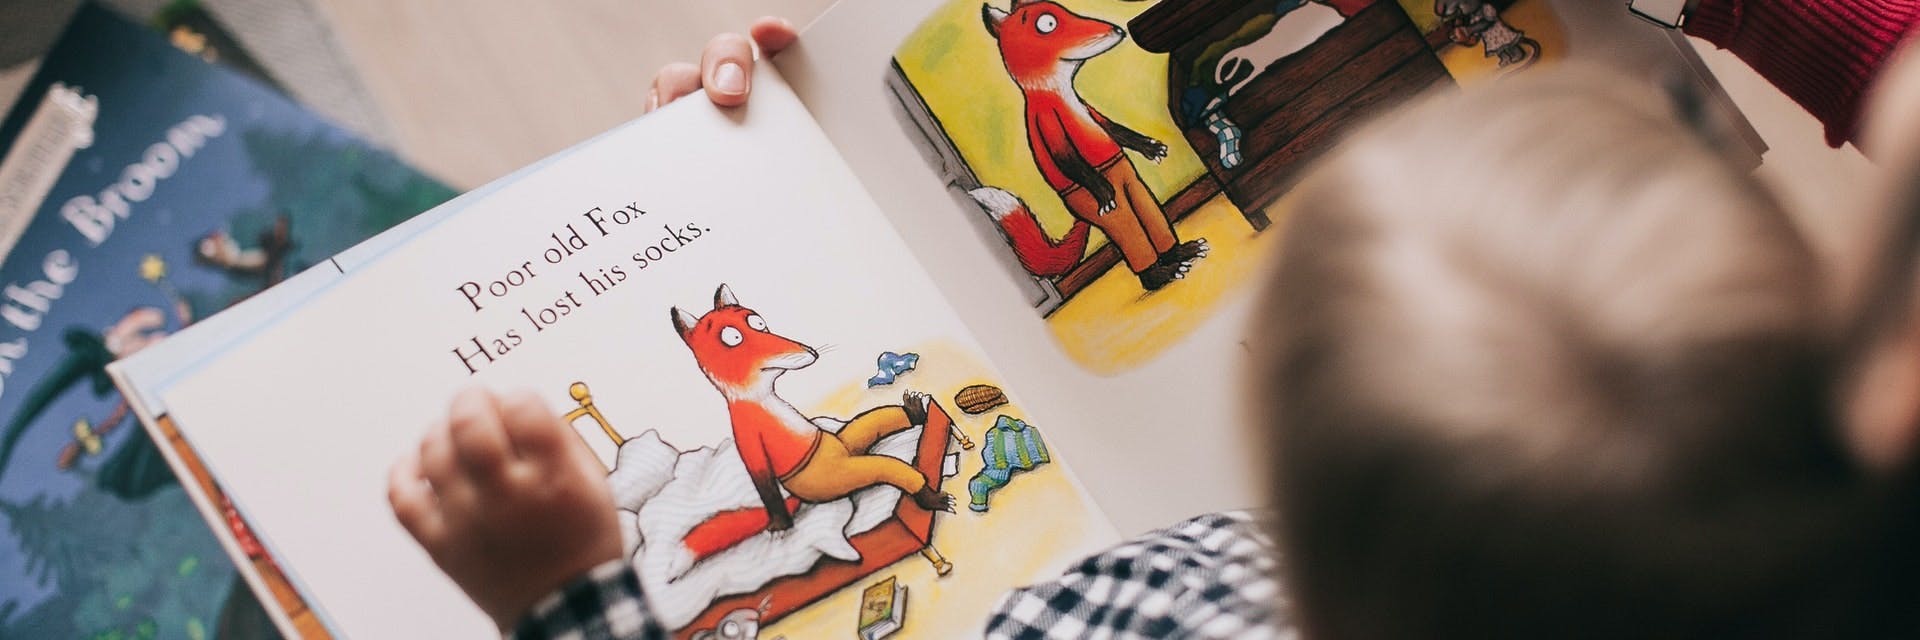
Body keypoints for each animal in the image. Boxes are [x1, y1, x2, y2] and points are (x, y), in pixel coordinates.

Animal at [672, 282, 956, 557]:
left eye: (759, 324)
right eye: (733, 338)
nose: (810, 352)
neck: (760, 400)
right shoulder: (749, 439)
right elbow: (765, 485)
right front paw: (780, 525)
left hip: (848, 441)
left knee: (876, 420)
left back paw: (914, 412)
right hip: (843, 474)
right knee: (891, 468)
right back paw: (930, 498)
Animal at [983, 0, 1205, 288]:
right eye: (1047, 24)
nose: (1118, 30)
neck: (1060, 94)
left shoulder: (1090, 111)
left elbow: (1115, 130)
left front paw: (1152, 149)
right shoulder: (1049, 124)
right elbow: (1068, 160)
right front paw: (1103, 191)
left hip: (1134, 186)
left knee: (1151, 215)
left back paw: (1180, 253)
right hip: (1102, 207)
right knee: (1132, 238)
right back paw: (1161, 274)